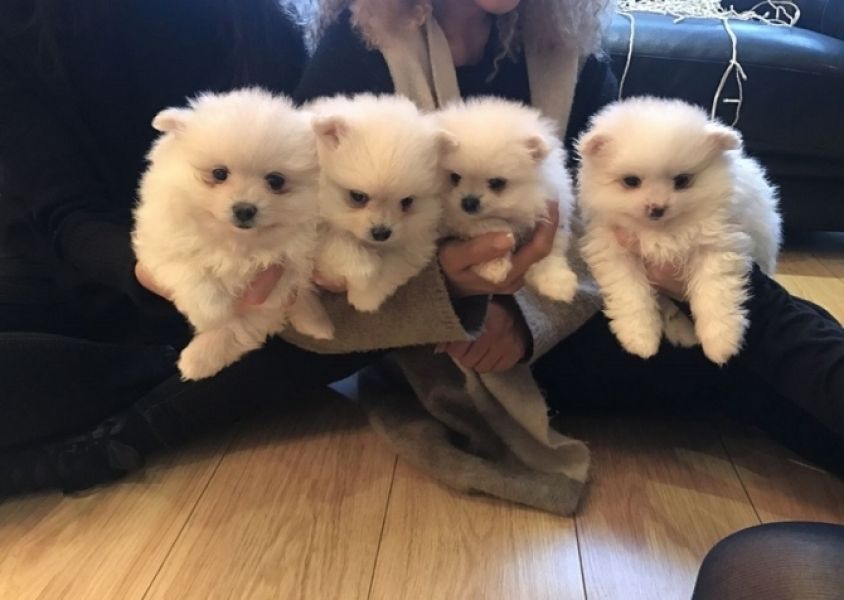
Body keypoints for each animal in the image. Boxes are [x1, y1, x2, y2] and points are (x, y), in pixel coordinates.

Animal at [133, 88, 332, 380]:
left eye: (275, 181)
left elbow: (241, 324)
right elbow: (189, 270)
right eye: (219, 173)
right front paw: (210, 310)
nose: (245, 209)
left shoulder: (277, 285)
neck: (237, 244)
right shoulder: (162, 244)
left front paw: (199, 357)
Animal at [308, 94, 448, 312]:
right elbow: (340, 246)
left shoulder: (418, 237)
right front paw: (363, 273)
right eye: (358, 196)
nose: (381, 233)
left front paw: (366, 297)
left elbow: (396, 263)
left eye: (407, 201)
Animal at [436, 99, 580, 304]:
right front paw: (494, 266)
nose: (468, 202)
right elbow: (491, 226)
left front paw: (556, 282)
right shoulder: (455, 221)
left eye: (497, 183)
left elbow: (552, 250)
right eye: (455, 177)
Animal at [576, 97, 780, 366]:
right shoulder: (614, 251)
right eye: (631, 181)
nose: (657, 208)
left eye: (682, 180)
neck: (662, 232)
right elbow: (631, 295)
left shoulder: (717, 245)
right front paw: (640, 339)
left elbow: (715, 293)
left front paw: (720, 343)